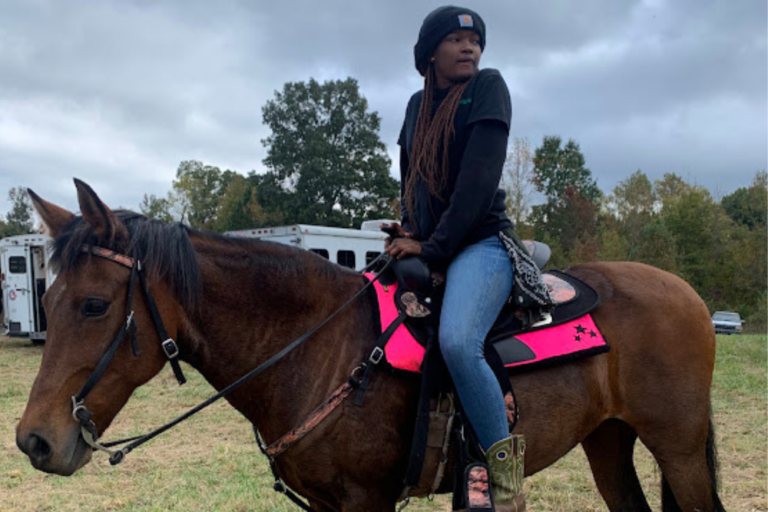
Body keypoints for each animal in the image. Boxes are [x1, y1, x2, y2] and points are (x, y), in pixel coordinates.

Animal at [16, 180, 726, 512]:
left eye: (94, 305)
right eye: (49, 298)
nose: (35, 441)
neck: (321, 347)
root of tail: (689, 294)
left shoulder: (366, 501)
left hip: (679, 447)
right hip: (608, 439)